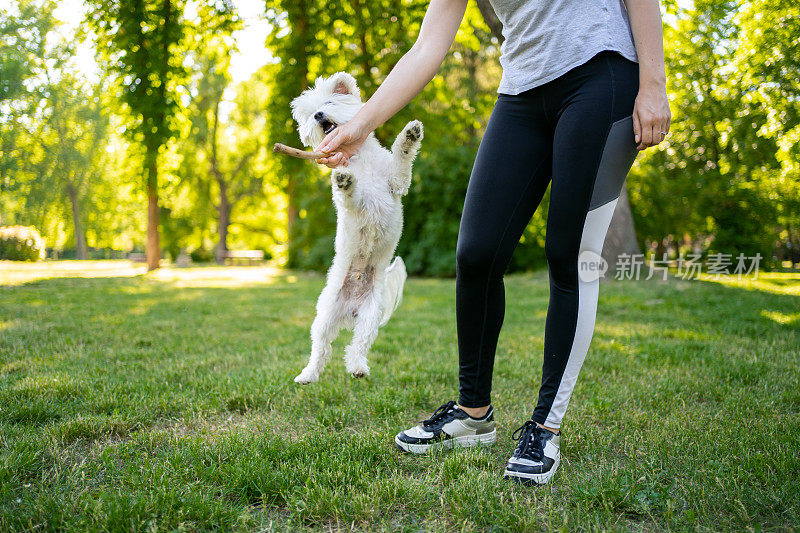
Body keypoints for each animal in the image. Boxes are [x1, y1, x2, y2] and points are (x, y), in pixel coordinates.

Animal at [290, 71, 424, 382]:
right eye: (309, 114)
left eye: (328, 103)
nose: (318, 115)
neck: (360, 159)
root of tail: (350, 310)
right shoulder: (358, 206)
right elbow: (352, 195)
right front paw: (345, 180)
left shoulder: (395, 181)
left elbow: (401, 156)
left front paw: (410, 135)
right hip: (325, 315)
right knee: (321, 348)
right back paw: (308, 375)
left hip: (371, 313)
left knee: (358, 344)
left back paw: (358, 367)